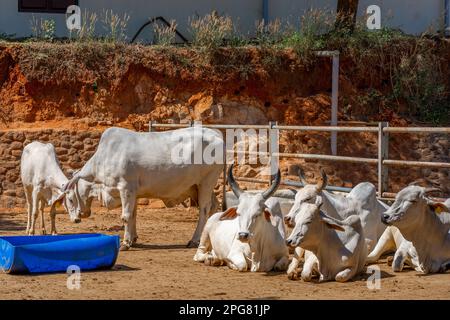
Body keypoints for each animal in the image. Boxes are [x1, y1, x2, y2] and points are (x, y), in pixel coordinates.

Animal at [63, 127, 223, 250]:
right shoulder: (134, 193)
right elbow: (133, 215)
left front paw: (125, 243)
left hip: (207, 182)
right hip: (197, 187)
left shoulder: (126, 188)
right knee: (214, 206)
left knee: (204, 209)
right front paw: (133, 239)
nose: (76, 218)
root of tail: (216, 133)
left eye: (70, 199)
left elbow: (126, 216)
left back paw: (194, 240)